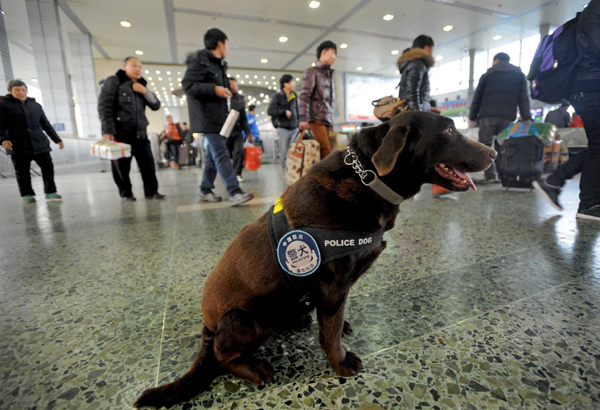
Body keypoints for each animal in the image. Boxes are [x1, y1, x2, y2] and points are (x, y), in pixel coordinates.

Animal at [134, 110, 494, 408]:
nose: (492, 153)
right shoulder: (334, 284)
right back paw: (253, 368)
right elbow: (330, 333)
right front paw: (341, 363)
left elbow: (333, 320)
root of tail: (207, 325)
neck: (368, 179)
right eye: (449, 130)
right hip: (244, 319)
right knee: (223, 353)